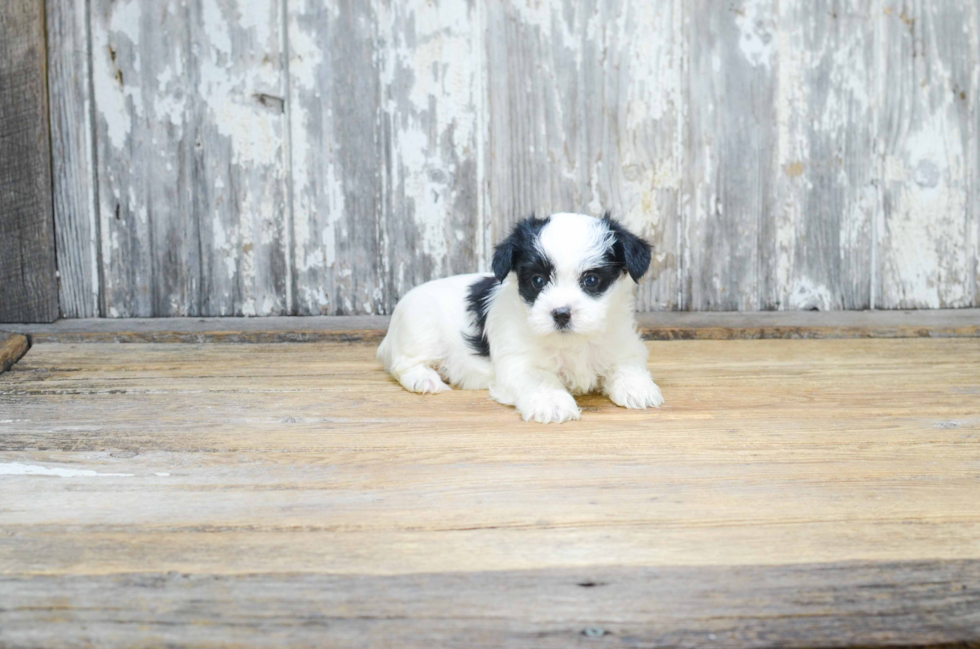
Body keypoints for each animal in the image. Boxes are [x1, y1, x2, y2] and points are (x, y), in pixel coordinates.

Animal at [378, 211, 664, 426]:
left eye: (591, 280)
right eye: (537, 281)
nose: (561, 313)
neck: (572, 343)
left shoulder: (622, 344)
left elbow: (627, 365)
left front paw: (638, 388)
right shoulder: (518, 362)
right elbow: (540, 378)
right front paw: (552, 402)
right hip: (420, 328)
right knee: (403, 364)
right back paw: (424, 380)